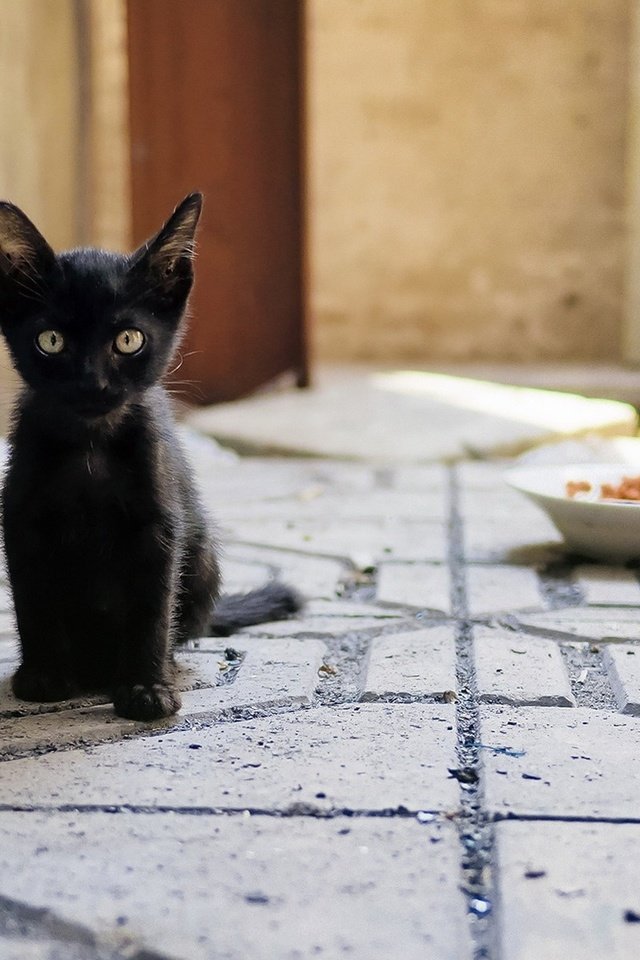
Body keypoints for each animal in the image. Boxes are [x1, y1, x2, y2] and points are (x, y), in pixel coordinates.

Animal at [0, 193, 300, 720]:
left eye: (128, 340)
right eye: (51, 340)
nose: (93, 384)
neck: (91, 445)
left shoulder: (159, 523)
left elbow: (153, 608)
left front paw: (147, 688)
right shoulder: (21, 517)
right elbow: (33, 601)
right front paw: (43, 675)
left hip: (203, 556)